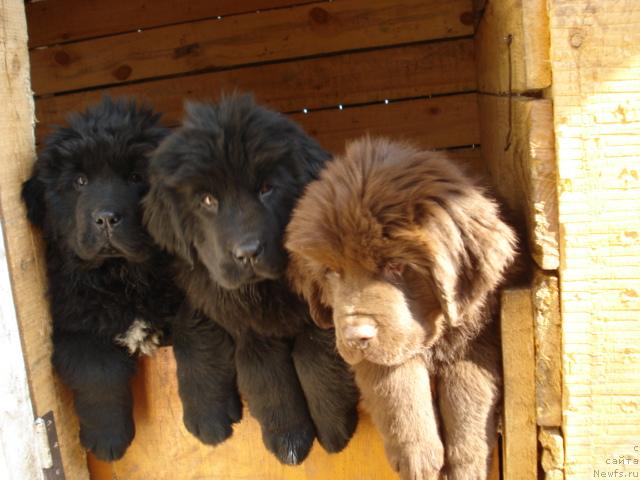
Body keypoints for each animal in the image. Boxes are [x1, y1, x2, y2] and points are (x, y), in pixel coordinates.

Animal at [21, 97, 240, 462]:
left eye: (137, 177)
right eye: (80, 181)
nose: (106, 218)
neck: (123, 274)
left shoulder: (202, 300)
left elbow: (197, 342)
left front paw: (209, 419)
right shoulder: (74, 323)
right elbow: (97, 372)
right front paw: (107, 439)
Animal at [143, 94, 360, 464]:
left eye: (267, 189)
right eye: (207, 200)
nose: (247, 253)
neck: (264, 291)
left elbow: (312, 352)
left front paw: (332, 427)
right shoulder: (230, 313)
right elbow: (259, 372)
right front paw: (285, 436)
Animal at [288, 137, 516, 478]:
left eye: (396, 265)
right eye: (331, 272)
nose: (356, 336)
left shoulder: (480, 335)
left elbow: (466, 390)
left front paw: (465, 465)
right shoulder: (377, 352)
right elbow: (396, 383)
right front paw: (418, 456)